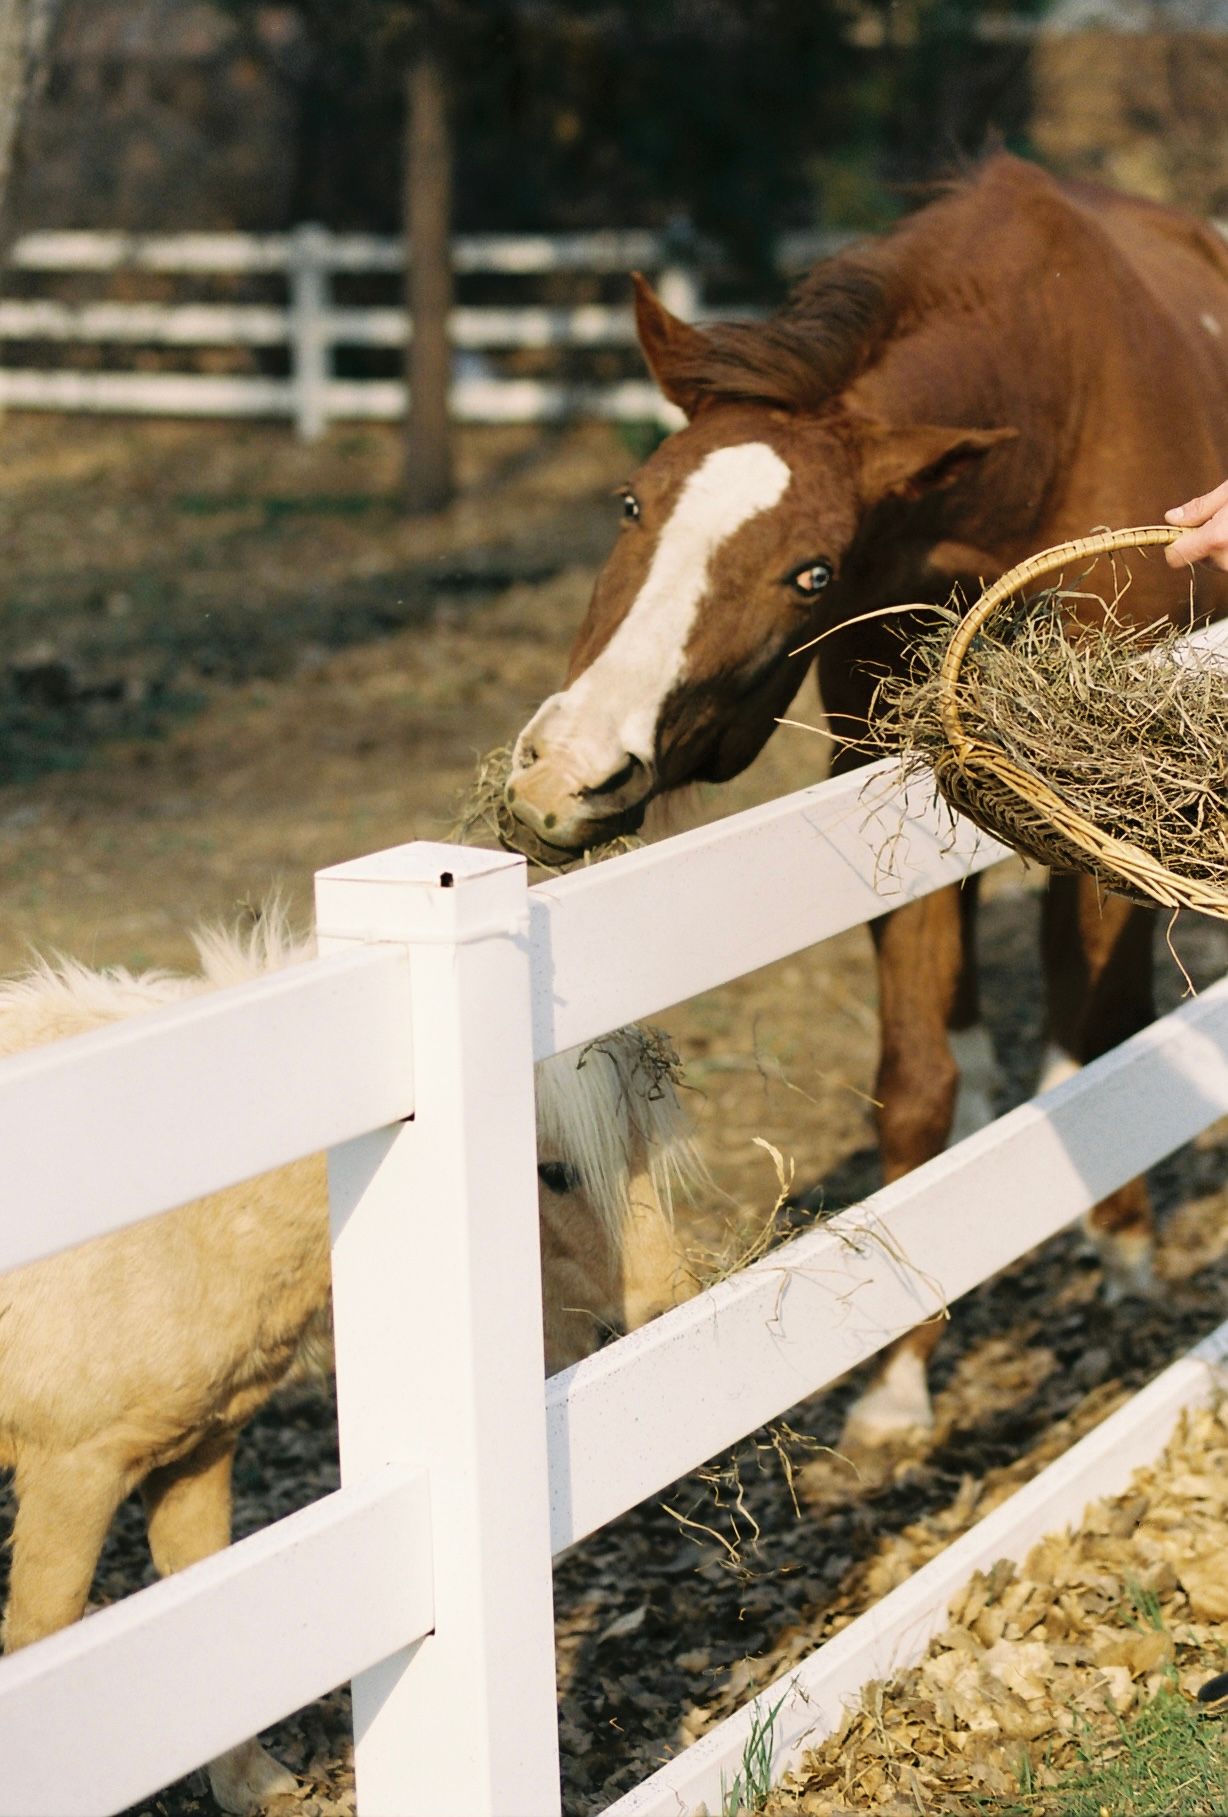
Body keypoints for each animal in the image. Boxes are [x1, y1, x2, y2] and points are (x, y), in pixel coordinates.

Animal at [0, 912, 697, 1813]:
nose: (673, 1303)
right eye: (554, 1171)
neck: (169, 1219)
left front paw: (252, 1784)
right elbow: (40, 1635)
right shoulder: (70, 1474)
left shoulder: (196, 1450)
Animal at [503, 153, 1228, 1444]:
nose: (566, 769)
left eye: (813, 571)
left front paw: (1121, 1240)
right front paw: (897, 1375)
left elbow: (1104, 1018)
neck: (1056, 413)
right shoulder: (878, 780)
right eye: (631, 504)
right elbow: (913, 1085)